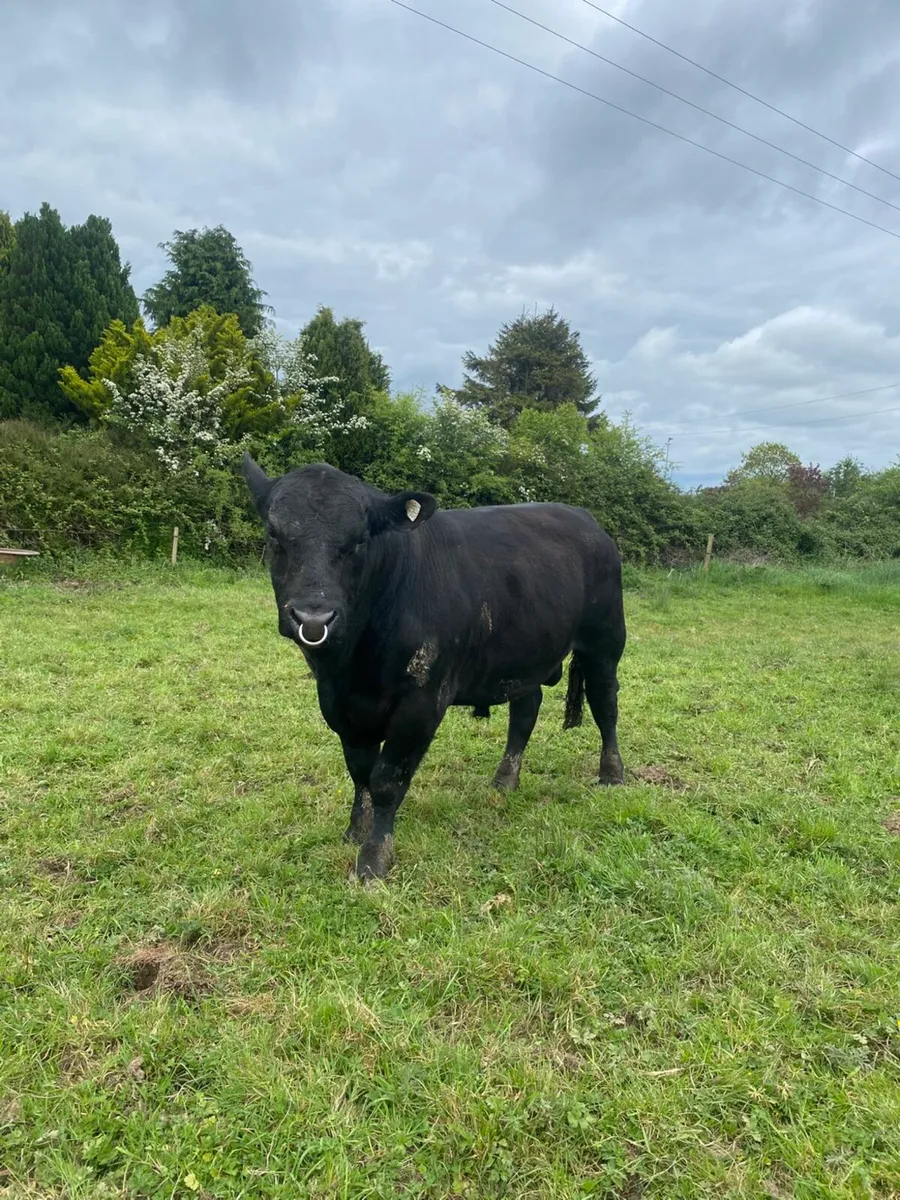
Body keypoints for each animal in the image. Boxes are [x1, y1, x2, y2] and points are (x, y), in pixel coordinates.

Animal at [241, 453, 626, 882]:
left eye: (361, 539)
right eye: (274, 534)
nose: (313, 617)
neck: (355, 666)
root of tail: (585, 519)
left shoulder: (422, 701)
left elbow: (387, 779)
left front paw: (374, 857)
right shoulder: (339, 703)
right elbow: (360, 772)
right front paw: (355, 831)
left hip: (605, 640)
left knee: (605, 704)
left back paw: (612, 774)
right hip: (524, 653)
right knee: (525, 712)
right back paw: (504, 781)